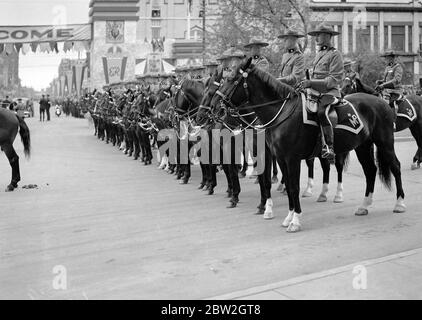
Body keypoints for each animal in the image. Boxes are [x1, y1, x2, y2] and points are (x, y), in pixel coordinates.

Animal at [211, 58, 406, 232]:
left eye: (232, 79)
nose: (214, 106)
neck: (281, 113)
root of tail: (381, 101)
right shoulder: (280, 159)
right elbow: (288, 186)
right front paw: (288, 217)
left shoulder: (292, 159)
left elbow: (294, 186)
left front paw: (295, 221)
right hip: (362, 146)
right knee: (370, 171)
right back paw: (364, 205)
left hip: (385, 142)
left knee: (395, 166)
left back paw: (399, 203)